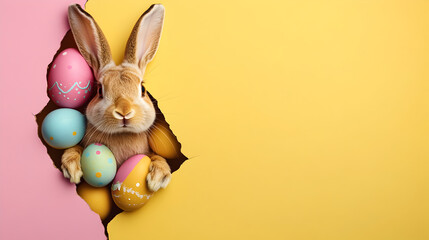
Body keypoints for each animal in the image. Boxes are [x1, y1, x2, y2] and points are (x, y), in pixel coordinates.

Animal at [61, 3, 171, 191]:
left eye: (142, 89)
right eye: (99, 90)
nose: (124, 112)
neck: (122, 134)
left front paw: (158, 177)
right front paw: (72, 167)